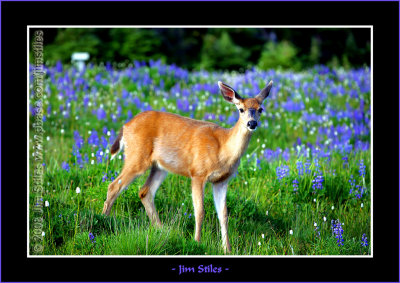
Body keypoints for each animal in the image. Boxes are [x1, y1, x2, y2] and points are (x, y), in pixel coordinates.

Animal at [101, 80, 274, 255]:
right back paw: (104, 220)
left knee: (145, 191)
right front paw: (197, 242)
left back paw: (162, 230)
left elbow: (223, 214)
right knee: (114, 186)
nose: (252, 123)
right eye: (241, 109)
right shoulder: (198, 173)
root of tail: (125, 126)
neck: (223, 149)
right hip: (137, 157)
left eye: (260, 109)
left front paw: (227, 249)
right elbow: (200, 211)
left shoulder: (222, 180)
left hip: (160, 167)